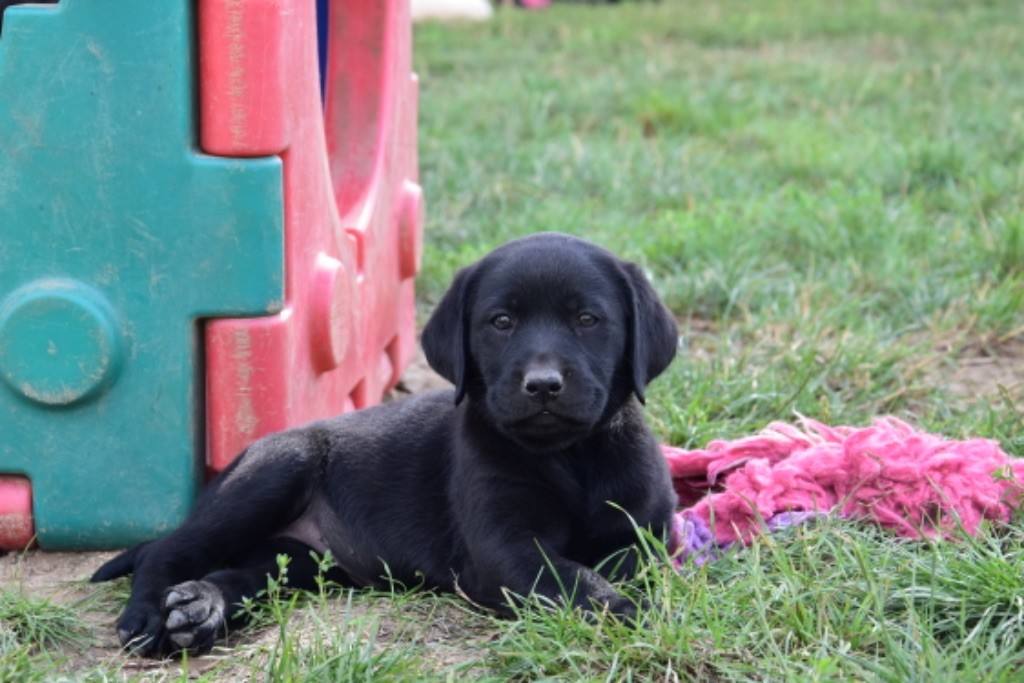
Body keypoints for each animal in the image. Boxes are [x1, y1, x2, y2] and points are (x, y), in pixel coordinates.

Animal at [92, 233, 675, 655]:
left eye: (587, 320)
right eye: (502, 322)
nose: (543, 385)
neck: (571, 457)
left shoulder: (646, 533)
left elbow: (621, 563)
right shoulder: (504, 548)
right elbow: (574, 577)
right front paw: (631, 614)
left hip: (297, 561)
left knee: (239, 575)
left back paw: (198, 610)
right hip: (275, 471)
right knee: (169, 549)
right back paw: (151, 615)